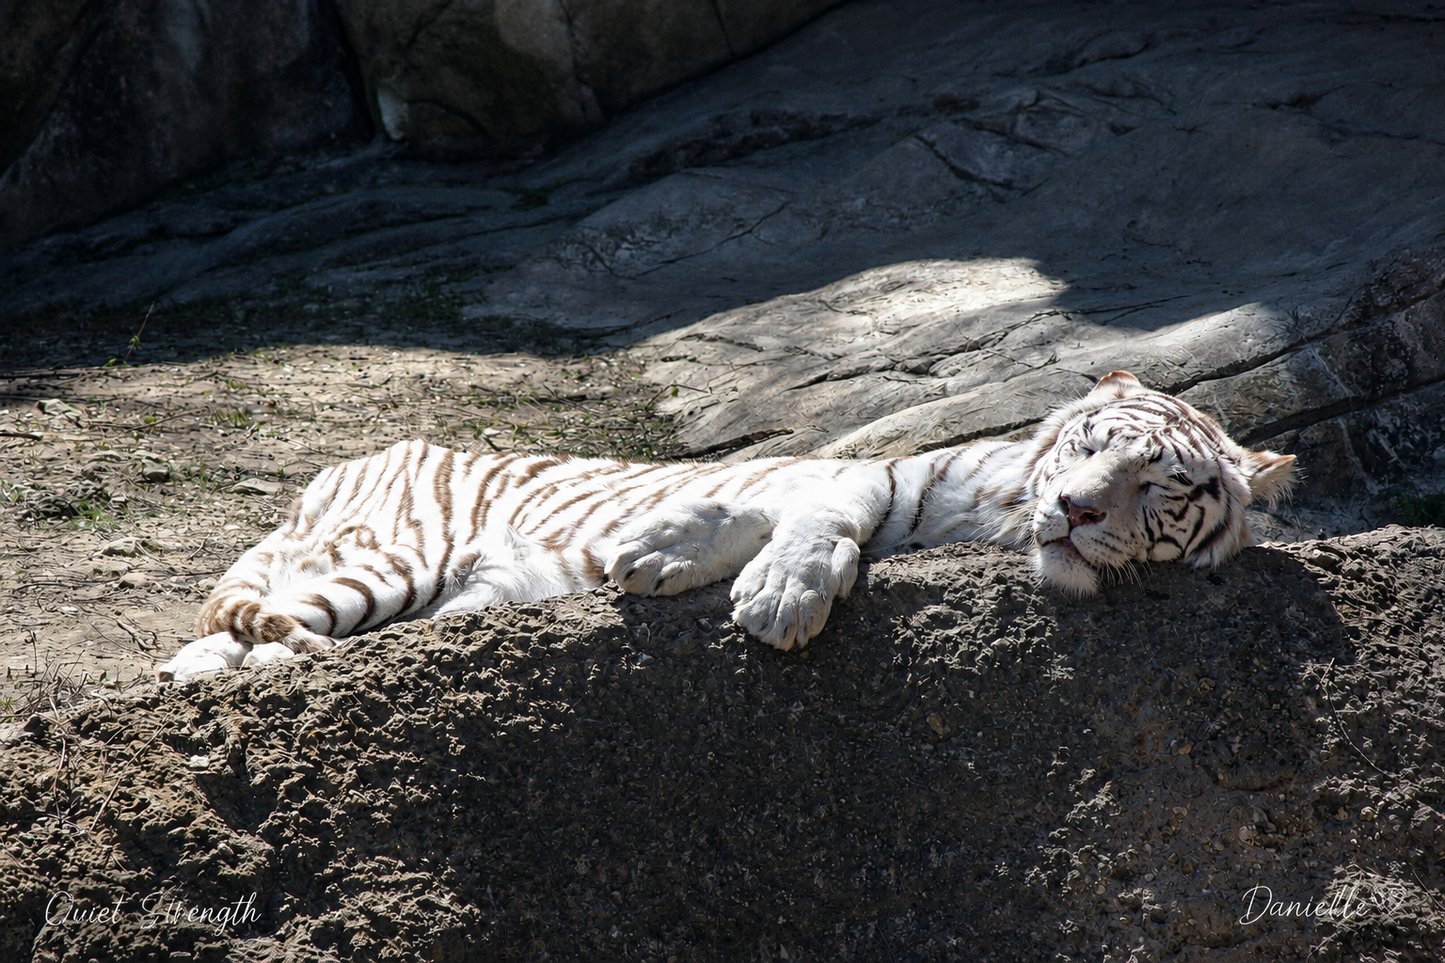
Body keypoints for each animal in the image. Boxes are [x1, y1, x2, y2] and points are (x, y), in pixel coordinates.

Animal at [155, 371, 1296, 681]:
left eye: (1156, 485)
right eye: (1087, 445)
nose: (1073, 507)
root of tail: (344, 461)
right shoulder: (855, 467)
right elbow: (802, 511)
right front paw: (729, 579)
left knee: (224, 641)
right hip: (389, 558)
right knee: (247, 619)